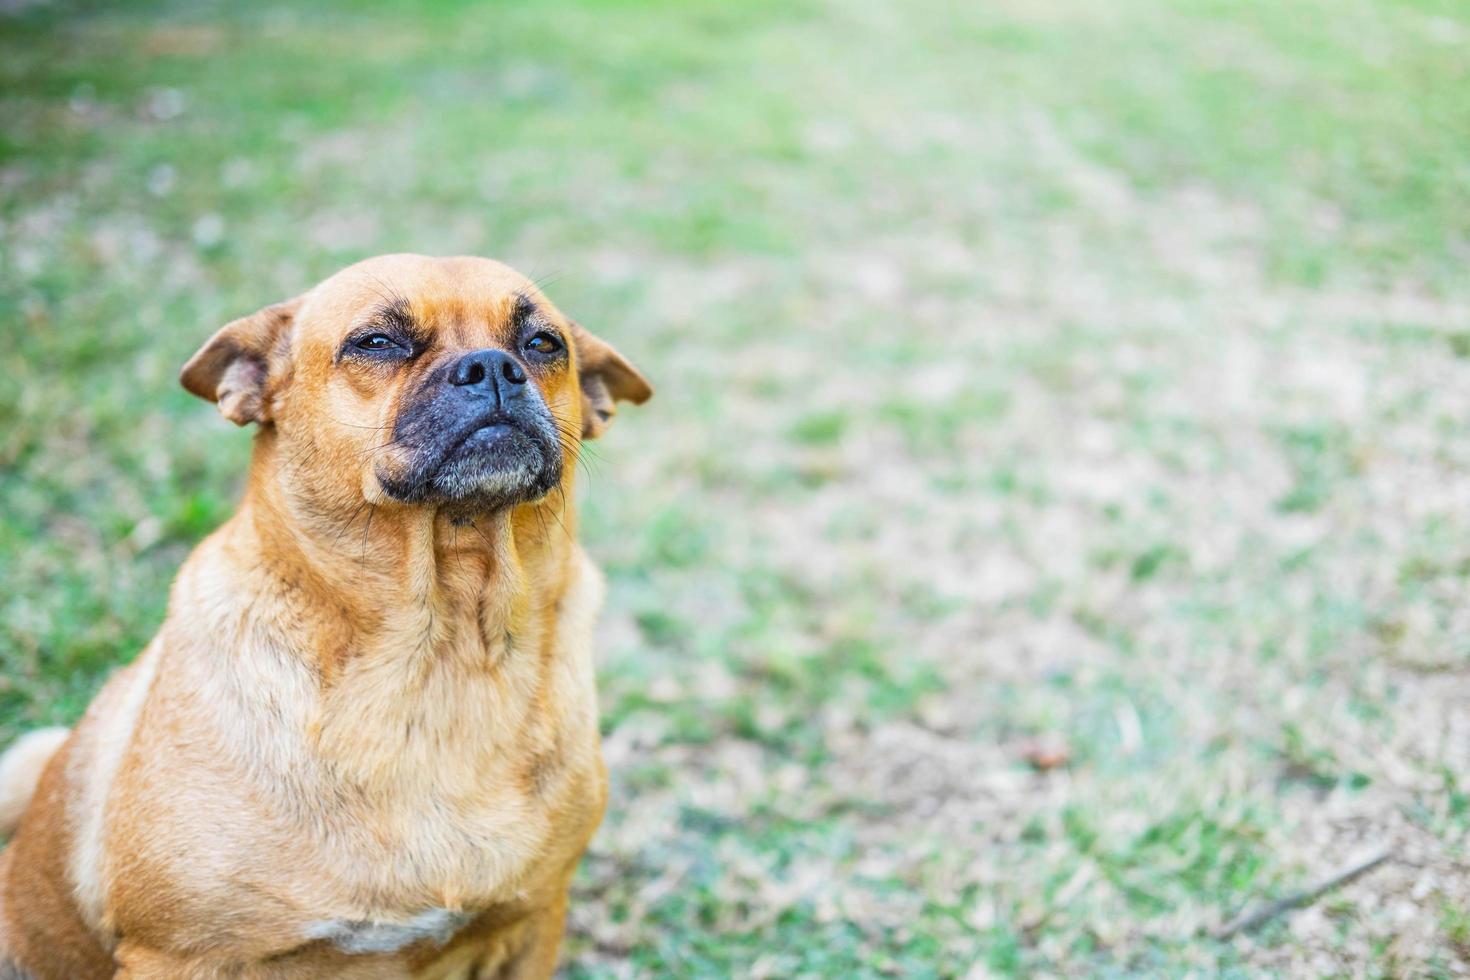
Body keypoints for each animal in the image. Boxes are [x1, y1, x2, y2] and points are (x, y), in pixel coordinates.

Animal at [0, 257, 649, 975]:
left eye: (541, 344)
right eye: (377, 342)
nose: (494, 367)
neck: (440, 649)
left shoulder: (533, 924)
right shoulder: (177, 954)